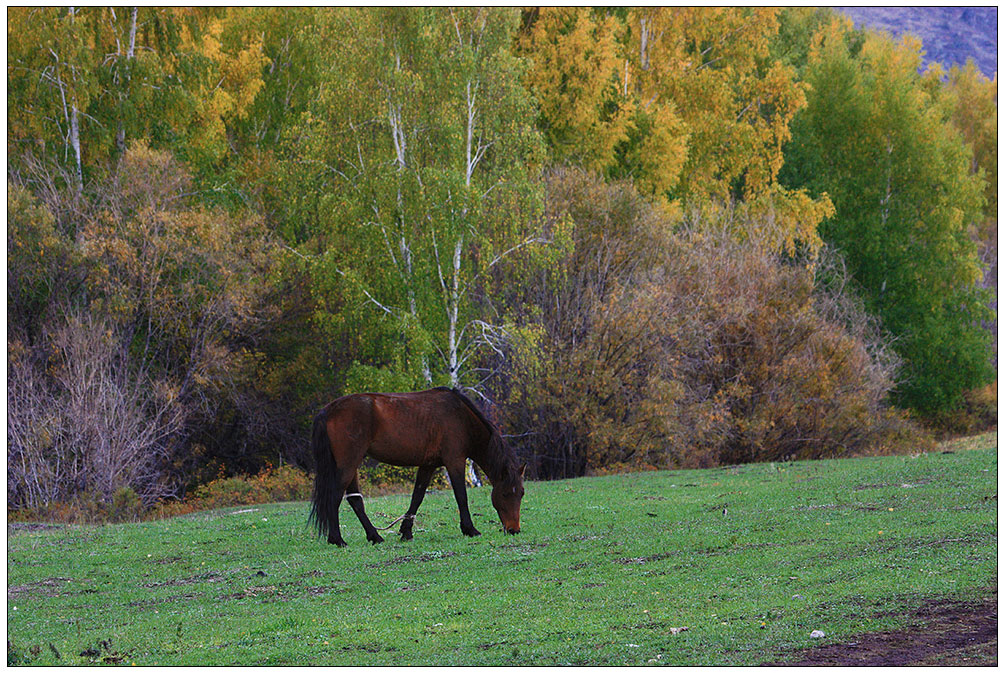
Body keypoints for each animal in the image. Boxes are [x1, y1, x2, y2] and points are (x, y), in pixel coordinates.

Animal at [307, 385, 526, 546]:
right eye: (505, 493)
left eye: (521, 494)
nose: (514, 530)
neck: (461, 418)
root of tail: (328, 410)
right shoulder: (454, 461)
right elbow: (461, 496)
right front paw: (470, 529)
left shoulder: (427, 465)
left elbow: (417, 498)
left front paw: (406, 532)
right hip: (348, 463)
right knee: (335, 497)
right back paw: (337, 540)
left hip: (351, 466)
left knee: (355, 500)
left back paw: (375, 536)